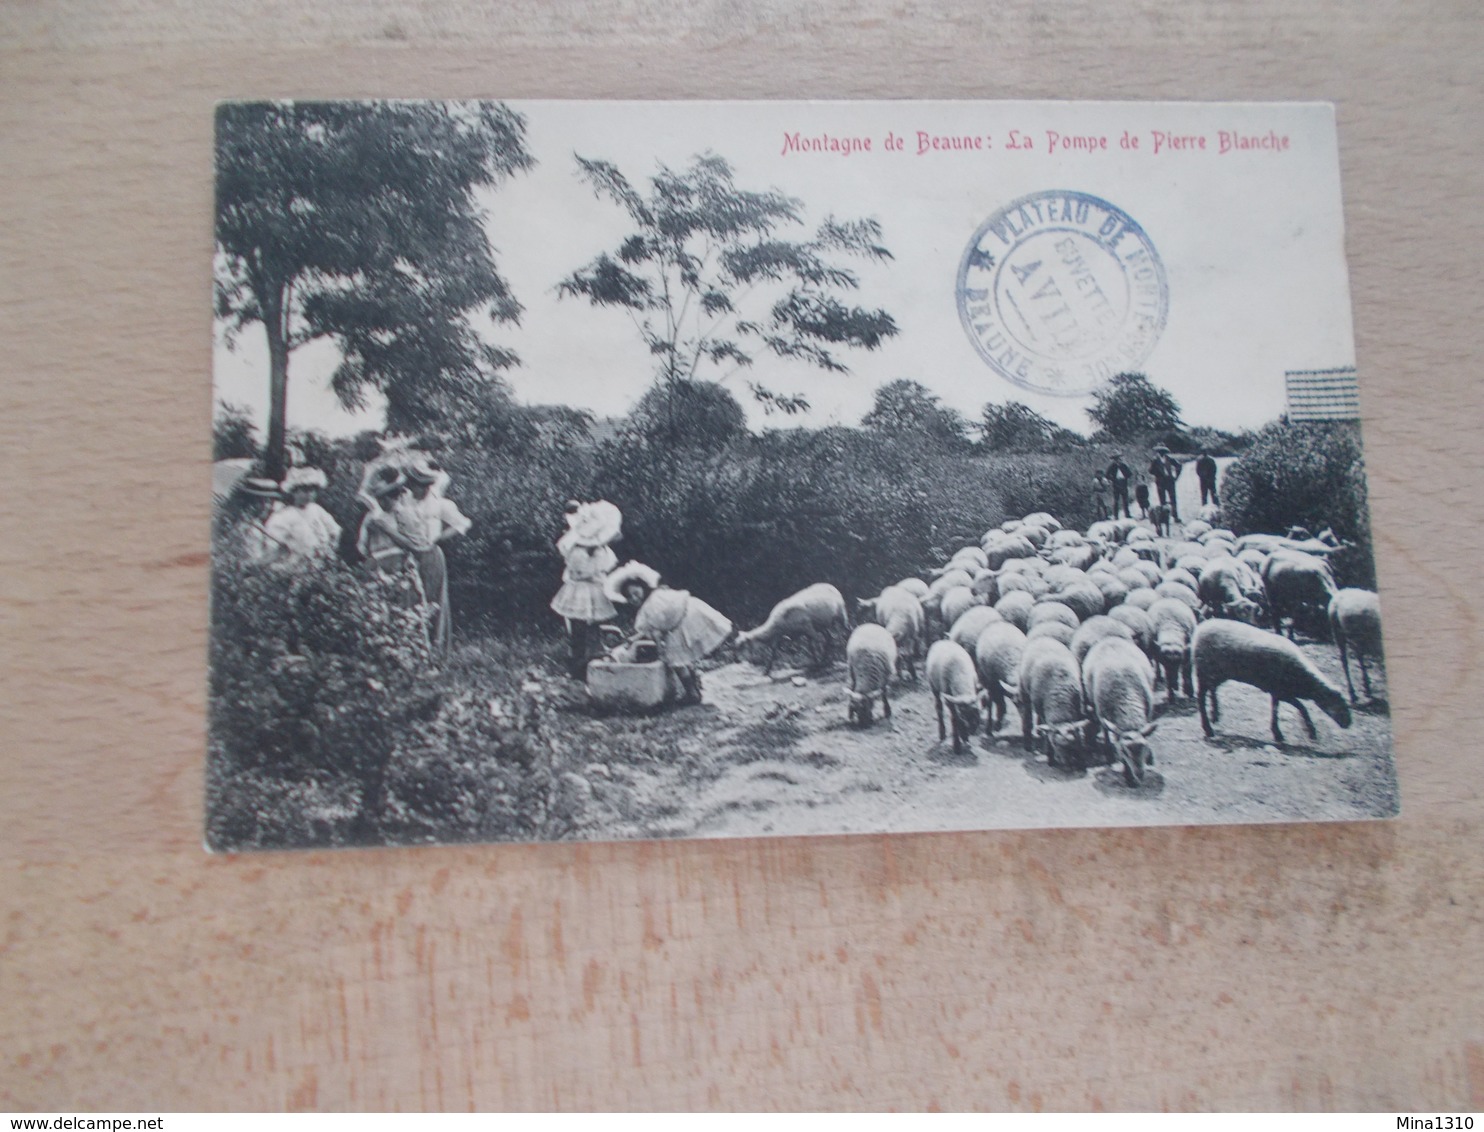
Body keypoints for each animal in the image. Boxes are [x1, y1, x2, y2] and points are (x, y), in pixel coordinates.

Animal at [997, 637, 1092, 771]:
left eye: (1071, 742)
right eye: (1055, 744)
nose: (1065, 762)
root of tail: (1044, 638)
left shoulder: (1078, 709)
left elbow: (1078, 732)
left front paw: (1080, 760)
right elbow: (1047, 731)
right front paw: (1050, 757)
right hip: (1025, 693)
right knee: (1028, 719)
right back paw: (1029, 743)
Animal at [1080, 637, 1157, 789]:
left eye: (1144, 747)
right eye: (1124, 751)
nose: (1139, 774)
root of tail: (1109, 638)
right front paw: (1128, 776)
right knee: (1105, 731)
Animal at [1193, 620, 1359, 744]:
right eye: (1339, 703)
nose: (1349, 723)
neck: (1304, 679)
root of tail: (1199, 629)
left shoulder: (1277, 691)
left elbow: (1277, 708)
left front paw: (1277, 733)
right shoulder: (1282, 691)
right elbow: (1301, 707)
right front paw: (1310, 732)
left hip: (1217, 674)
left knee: (1212, 690)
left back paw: (1215, 714)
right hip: (1204, 672)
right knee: (1201, 697)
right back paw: (1208, 728)